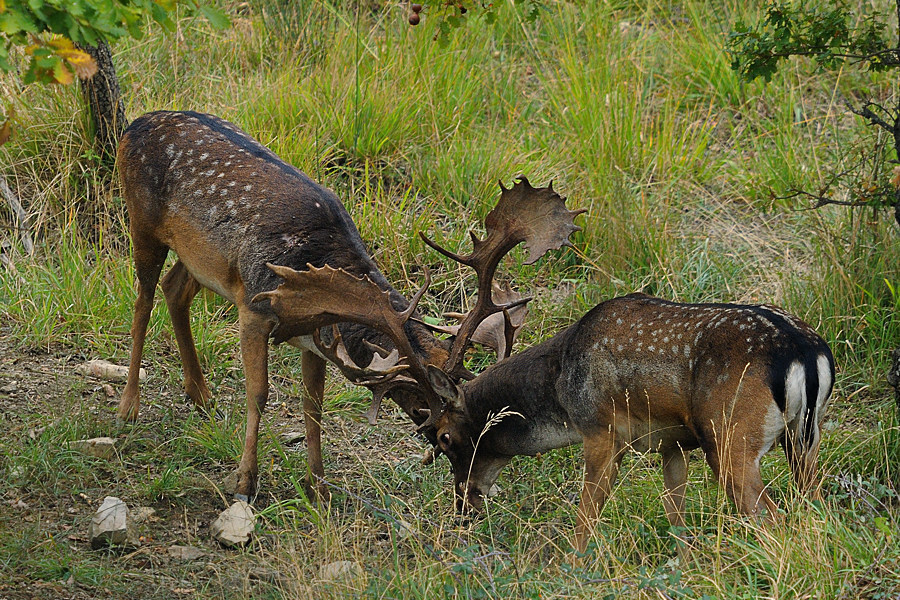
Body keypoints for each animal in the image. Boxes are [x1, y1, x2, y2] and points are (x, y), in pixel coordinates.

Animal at [114, 109, 584, 502]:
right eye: (446, 433)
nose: (466, 487)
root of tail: (133, 123)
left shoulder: (313, 339)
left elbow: (313, 406)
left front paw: (318, 487)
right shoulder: (254, 307)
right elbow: (258, 393)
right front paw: (244, 484)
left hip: (199, 258)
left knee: (175, 290)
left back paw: (201, 395)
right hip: (141, 221)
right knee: (142, 302)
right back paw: (128, 408)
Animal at [422, 292, 836, 552]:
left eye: (444, 438)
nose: (464, 503)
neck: (561, 382)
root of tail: (804, 350)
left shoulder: (600, 430)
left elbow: (586, 517)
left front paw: (570, 567)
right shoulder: (673, 443)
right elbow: (676, 518)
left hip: (730, 435)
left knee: (771, 518)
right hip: (804, 438)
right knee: (817, 506)